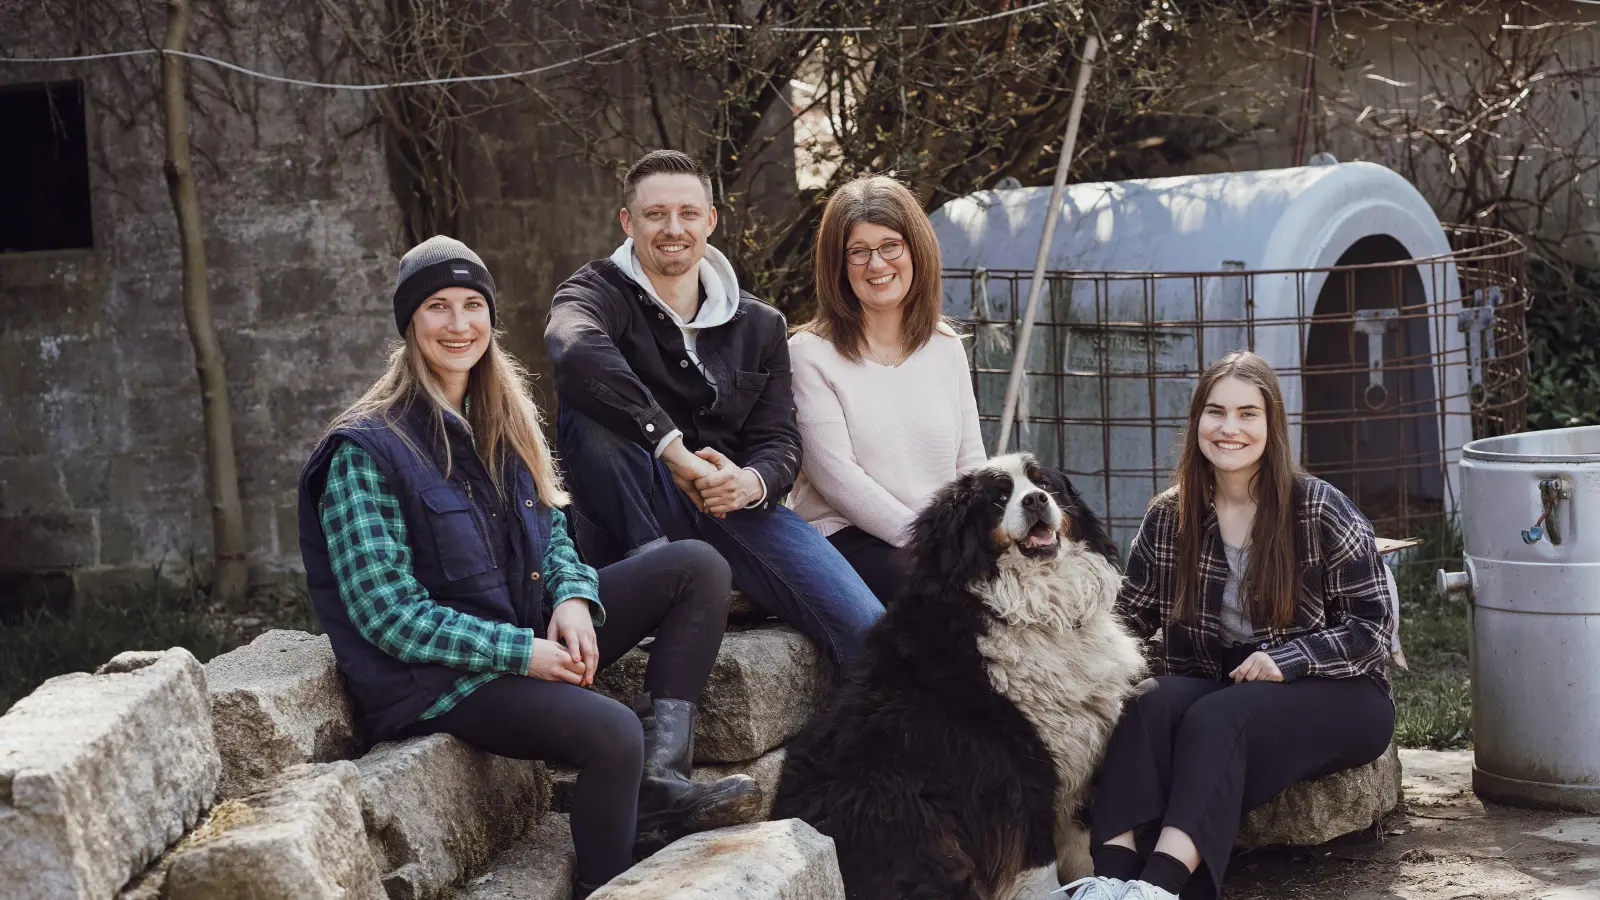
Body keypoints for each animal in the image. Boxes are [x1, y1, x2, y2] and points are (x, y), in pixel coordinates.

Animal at [768, 451, 1145, 896]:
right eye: (999, 499)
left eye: (1044, 484)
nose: (1035, 501)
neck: (1033, 611)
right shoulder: (1019, 763)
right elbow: (1039, 863)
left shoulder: (1082, 744)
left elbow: (1082, 843)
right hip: (906, 809)